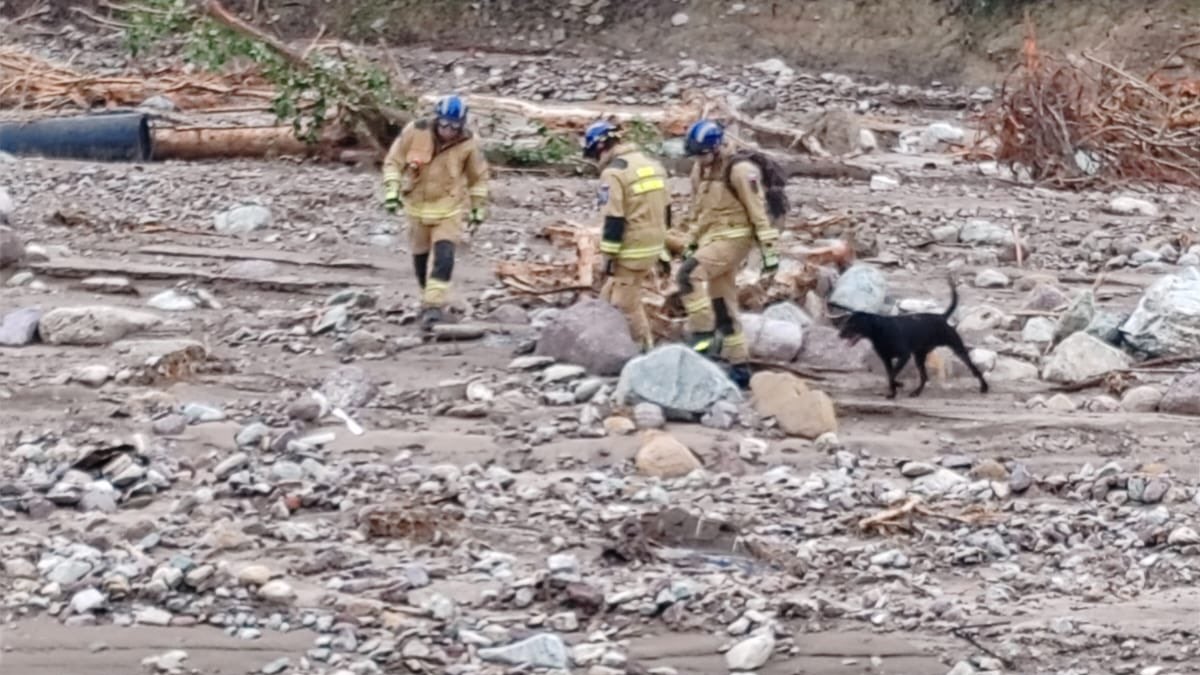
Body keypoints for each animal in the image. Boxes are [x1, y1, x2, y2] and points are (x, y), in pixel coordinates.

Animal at [840, 276, 988, 396]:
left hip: (957, 349)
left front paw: (896, 386)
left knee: (974, 369)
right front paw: (893, 391)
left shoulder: (904, 355)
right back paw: (916, 392)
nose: (839, 334)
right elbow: (890, 375)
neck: (880, 330)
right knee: (924, 377)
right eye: (846, 322)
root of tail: (942, 317)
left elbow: (892, 374)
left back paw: (984, 387)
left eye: (852, 324)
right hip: (919, 356)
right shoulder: (886, 359)